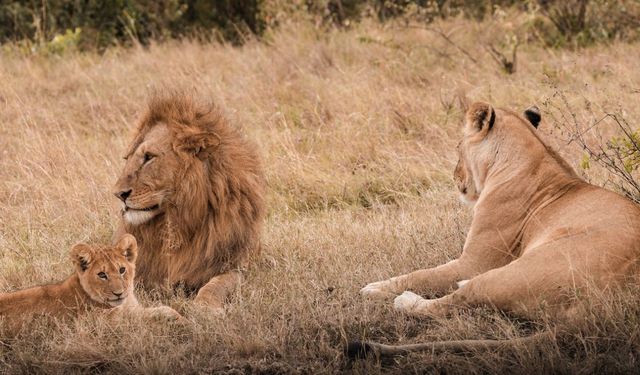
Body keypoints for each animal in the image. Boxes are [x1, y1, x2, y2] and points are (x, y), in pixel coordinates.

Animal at [0, 235, 180, 334]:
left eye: (122, 270)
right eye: (102, 275)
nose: (119, 293)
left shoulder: (133, 310)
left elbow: (165, 309)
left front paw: (181, 319)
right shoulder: (103, 326)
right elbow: (145, 323)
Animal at [113, 93, 264, 312]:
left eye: (149, 157)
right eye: (128, 158)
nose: (118, 194)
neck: (176, 222)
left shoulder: (235, 265)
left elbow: (217, 284)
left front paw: (205, 307)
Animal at [356, 103, 640, 358]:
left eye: (458, 147)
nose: (454, 176)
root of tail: (598, 310)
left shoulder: (474, 262)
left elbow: (422, 274)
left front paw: (375, 288)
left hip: (510, 273)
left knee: (455, 300)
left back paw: (405, 300)